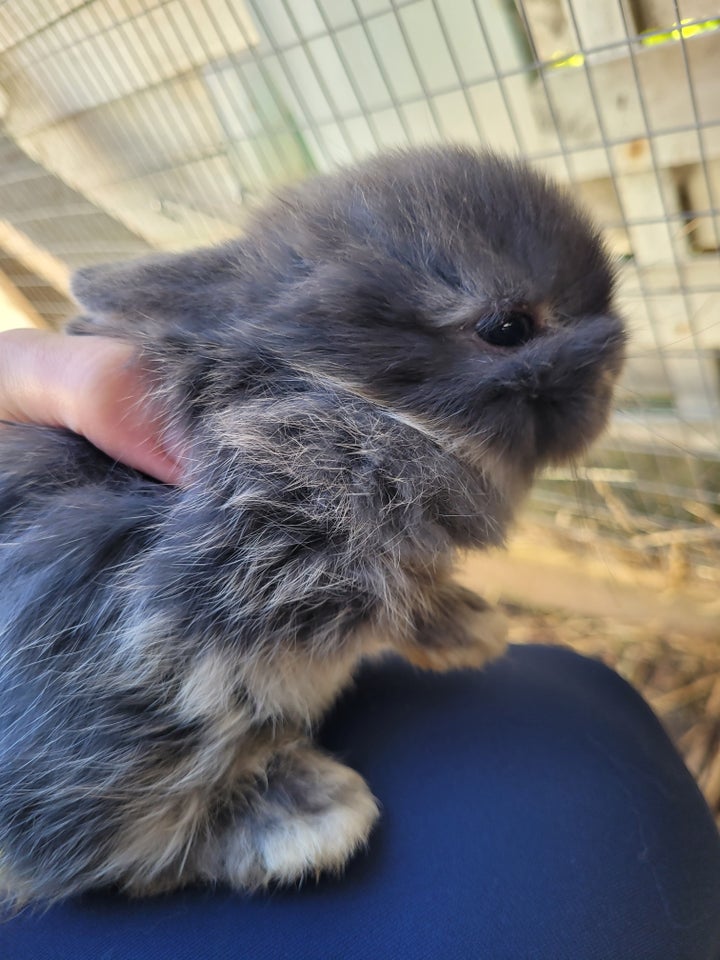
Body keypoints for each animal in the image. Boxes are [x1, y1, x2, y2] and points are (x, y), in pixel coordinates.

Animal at [0, 146, 624, 904]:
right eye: (508, 328)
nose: (615, 370)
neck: (339, 387)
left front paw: (471, 626)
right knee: (94, 831)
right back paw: (307, 815)